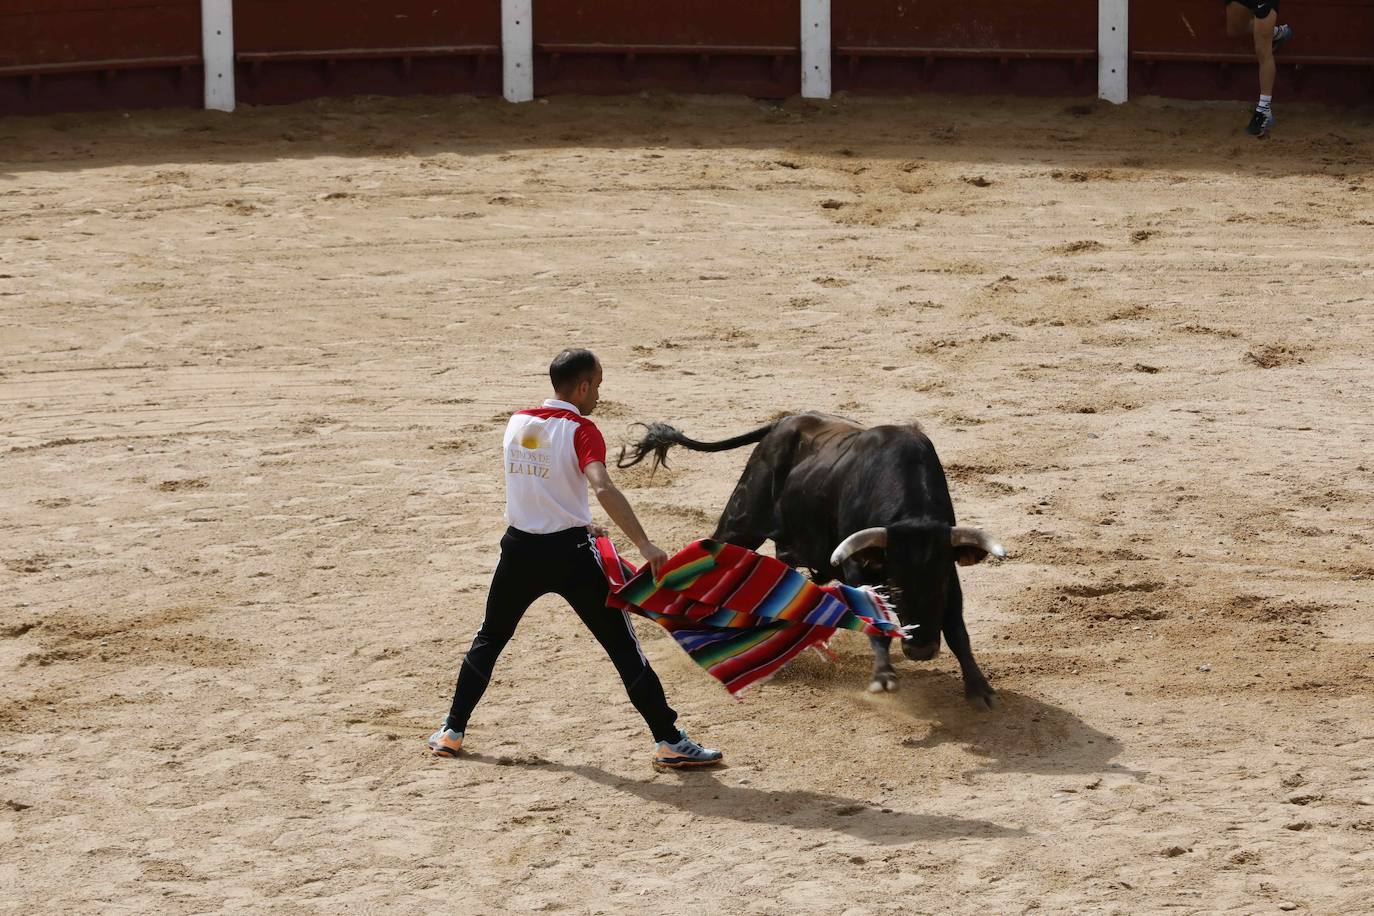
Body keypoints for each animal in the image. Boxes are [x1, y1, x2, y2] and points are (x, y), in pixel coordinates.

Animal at [618, 411, 1005, 708]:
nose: (922, 650)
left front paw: (979, 688)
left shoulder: (948, 570)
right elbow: (877, 624)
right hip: (741, 521)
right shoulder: (857, 568)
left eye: (937, 587)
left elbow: (957, 629)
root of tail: (783, 422)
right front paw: (883, 678)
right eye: (894, 588)